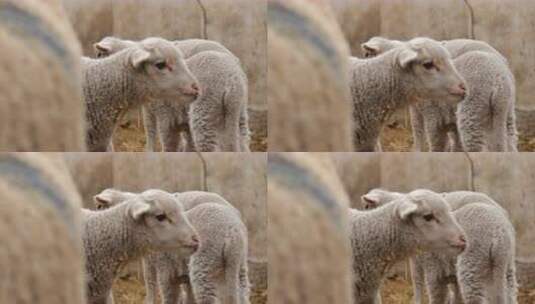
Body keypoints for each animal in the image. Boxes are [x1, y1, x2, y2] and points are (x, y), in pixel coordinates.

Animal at [93, 36, 251, 152]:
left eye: (100, 55)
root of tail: (232, 82)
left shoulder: (159, 110)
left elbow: (153, 131)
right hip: (237, 113)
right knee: (241, 141)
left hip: (204, 111)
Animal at [362, 36, 516, 152]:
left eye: (367, 55)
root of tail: (498, 80)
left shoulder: (428, 112)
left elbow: (422, 134)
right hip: (505, 113)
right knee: (508, 142)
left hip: (472, 109)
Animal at [362, 189, 516, 302]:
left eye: (367, 207)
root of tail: (498, 234)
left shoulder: (428, 266)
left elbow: (420, 285)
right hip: (506, 267)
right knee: (510, 293)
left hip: (472, 263)